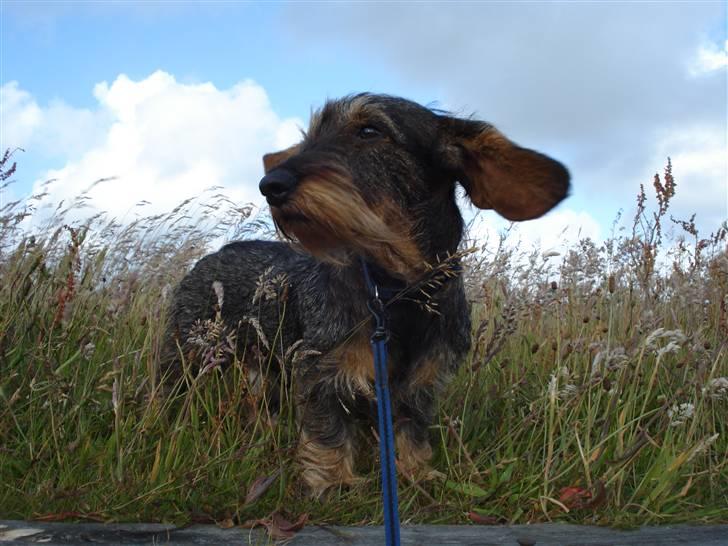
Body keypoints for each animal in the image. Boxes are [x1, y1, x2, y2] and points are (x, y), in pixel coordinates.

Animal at [162, 94, 572, 498]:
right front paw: (332, 482)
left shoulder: (420, 385)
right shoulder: (321, 374)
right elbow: (327, 431)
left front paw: (416, 472)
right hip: (186, 357)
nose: (270, 185)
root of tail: (213, 255)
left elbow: (412, 431)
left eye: (370, 130)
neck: (397, 292)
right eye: (311, 135)